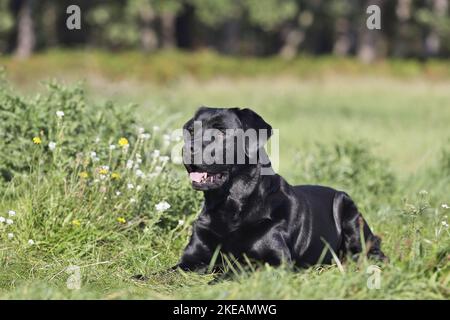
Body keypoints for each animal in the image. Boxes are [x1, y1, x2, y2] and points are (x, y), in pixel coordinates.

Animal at [174, 107, 384, 272]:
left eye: (221, 132)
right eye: (191, 131)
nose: (188, 148)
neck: (229, 207)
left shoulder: (274, 261)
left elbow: (234, 271)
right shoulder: (191, 257)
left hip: (349, 211)